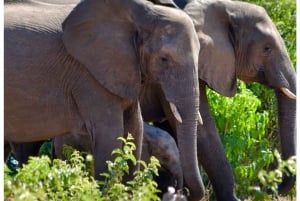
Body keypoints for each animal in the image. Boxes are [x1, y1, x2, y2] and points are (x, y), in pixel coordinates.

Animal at [4, 0, 204, 199]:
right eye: (164, 59)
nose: (182, 191)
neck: (140, 14)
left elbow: (135, 129)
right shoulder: (88, 76)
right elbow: (110, 135)